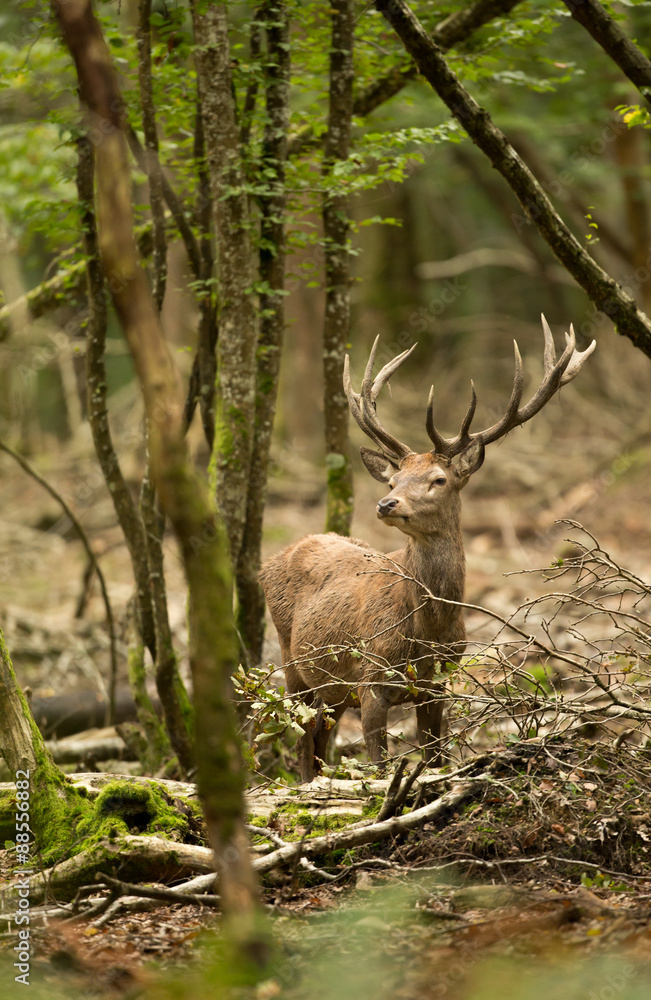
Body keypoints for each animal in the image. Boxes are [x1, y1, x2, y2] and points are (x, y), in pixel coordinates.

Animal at [260, 316, 595, 782]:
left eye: (439, 479)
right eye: (392, 480)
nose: (386, 503)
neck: (427, 632)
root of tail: (272, 560)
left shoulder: (437, 681)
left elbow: (435, 757)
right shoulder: (372, 676)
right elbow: (379, 762)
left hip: (334, 688)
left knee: (320, 739)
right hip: (293, 662)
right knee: (303, 742)